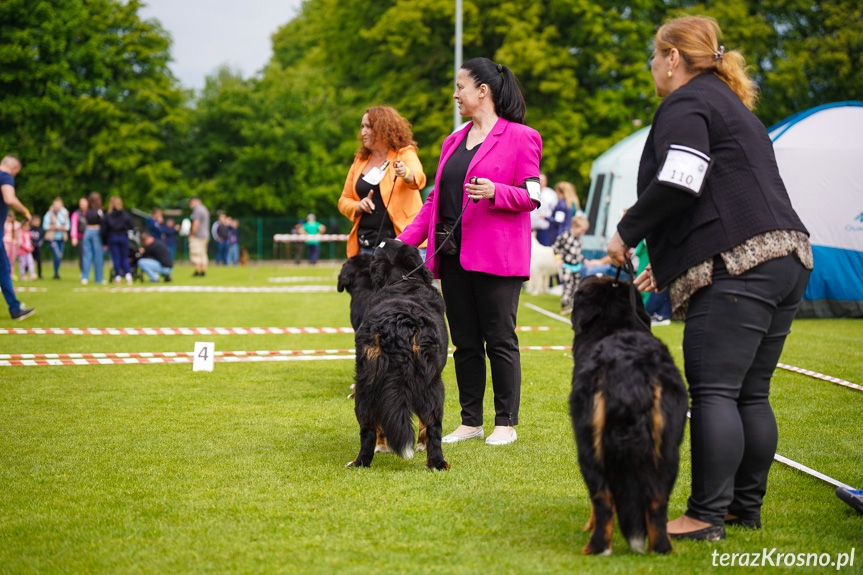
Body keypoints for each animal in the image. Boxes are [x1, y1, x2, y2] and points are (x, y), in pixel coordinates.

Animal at [346, 241, 452, 470]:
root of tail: (397, 323)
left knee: (368, 428)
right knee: (433, 423)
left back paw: (360, 462)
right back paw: (437, 463)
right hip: (432, 382)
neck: (401, 279)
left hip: (366, 383)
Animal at [572, 276, 692, 556]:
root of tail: (630, 368)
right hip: (668, 448)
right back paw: (662, 548)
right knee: (658, 501)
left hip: (589, 446)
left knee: (602, 499)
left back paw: (594, 547)